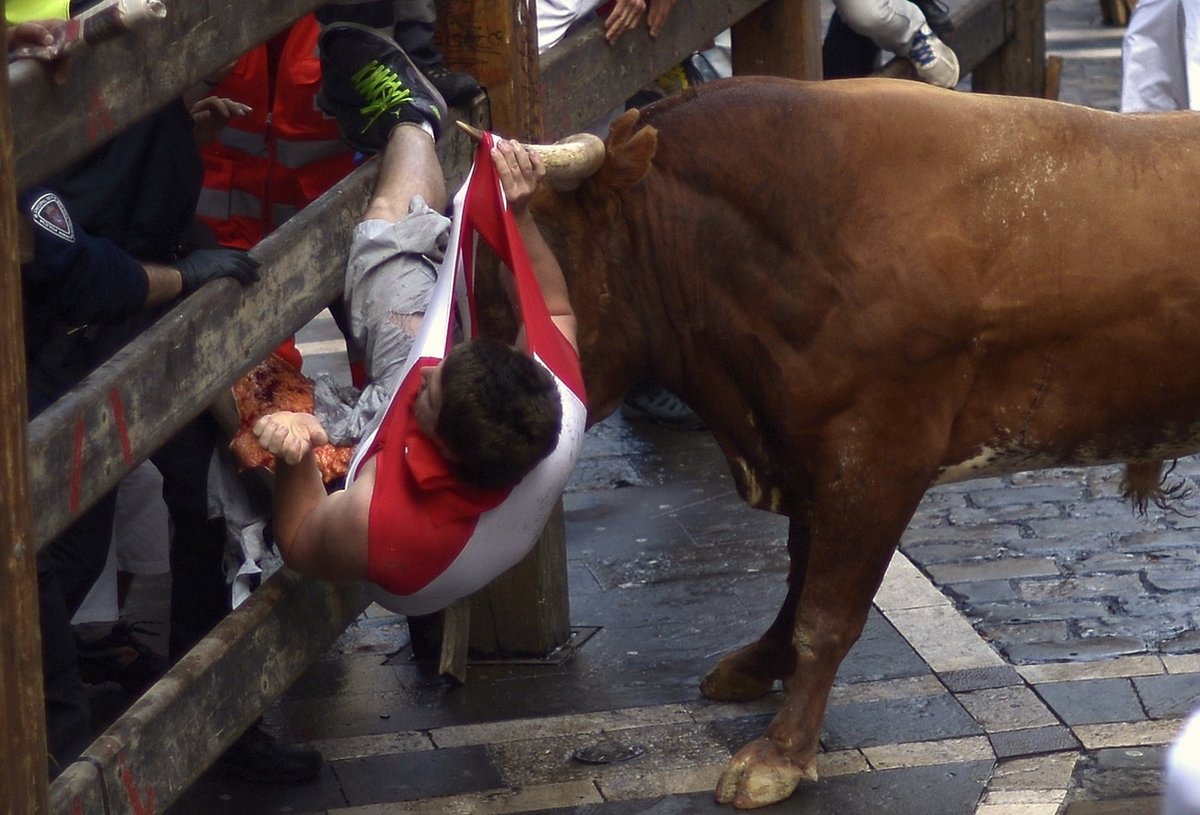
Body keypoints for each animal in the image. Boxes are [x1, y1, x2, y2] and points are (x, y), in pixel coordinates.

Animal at [511, 78, 1200, 811]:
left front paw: (780, 753)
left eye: (531, 267)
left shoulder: (876, 456)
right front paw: (761, 662)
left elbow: (827, 610)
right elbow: (798, 574)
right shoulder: (806, 449)